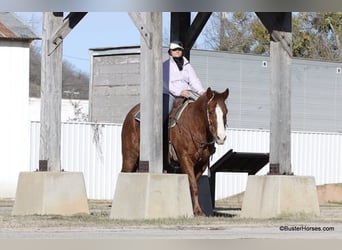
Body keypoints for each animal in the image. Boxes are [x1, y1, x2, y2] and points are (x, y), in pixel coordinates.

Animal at [121, 87, 230, 215]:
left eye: (226, 111)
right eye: (211, 111)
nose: (221, 137)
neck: (194, 126)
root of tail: (131, 114)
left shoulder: (202, 163)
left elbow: (194, 185)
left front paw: (195, 210)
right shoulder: (185, 158)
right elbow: (193, 185)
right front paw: (198, 211)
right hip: (130, 157)